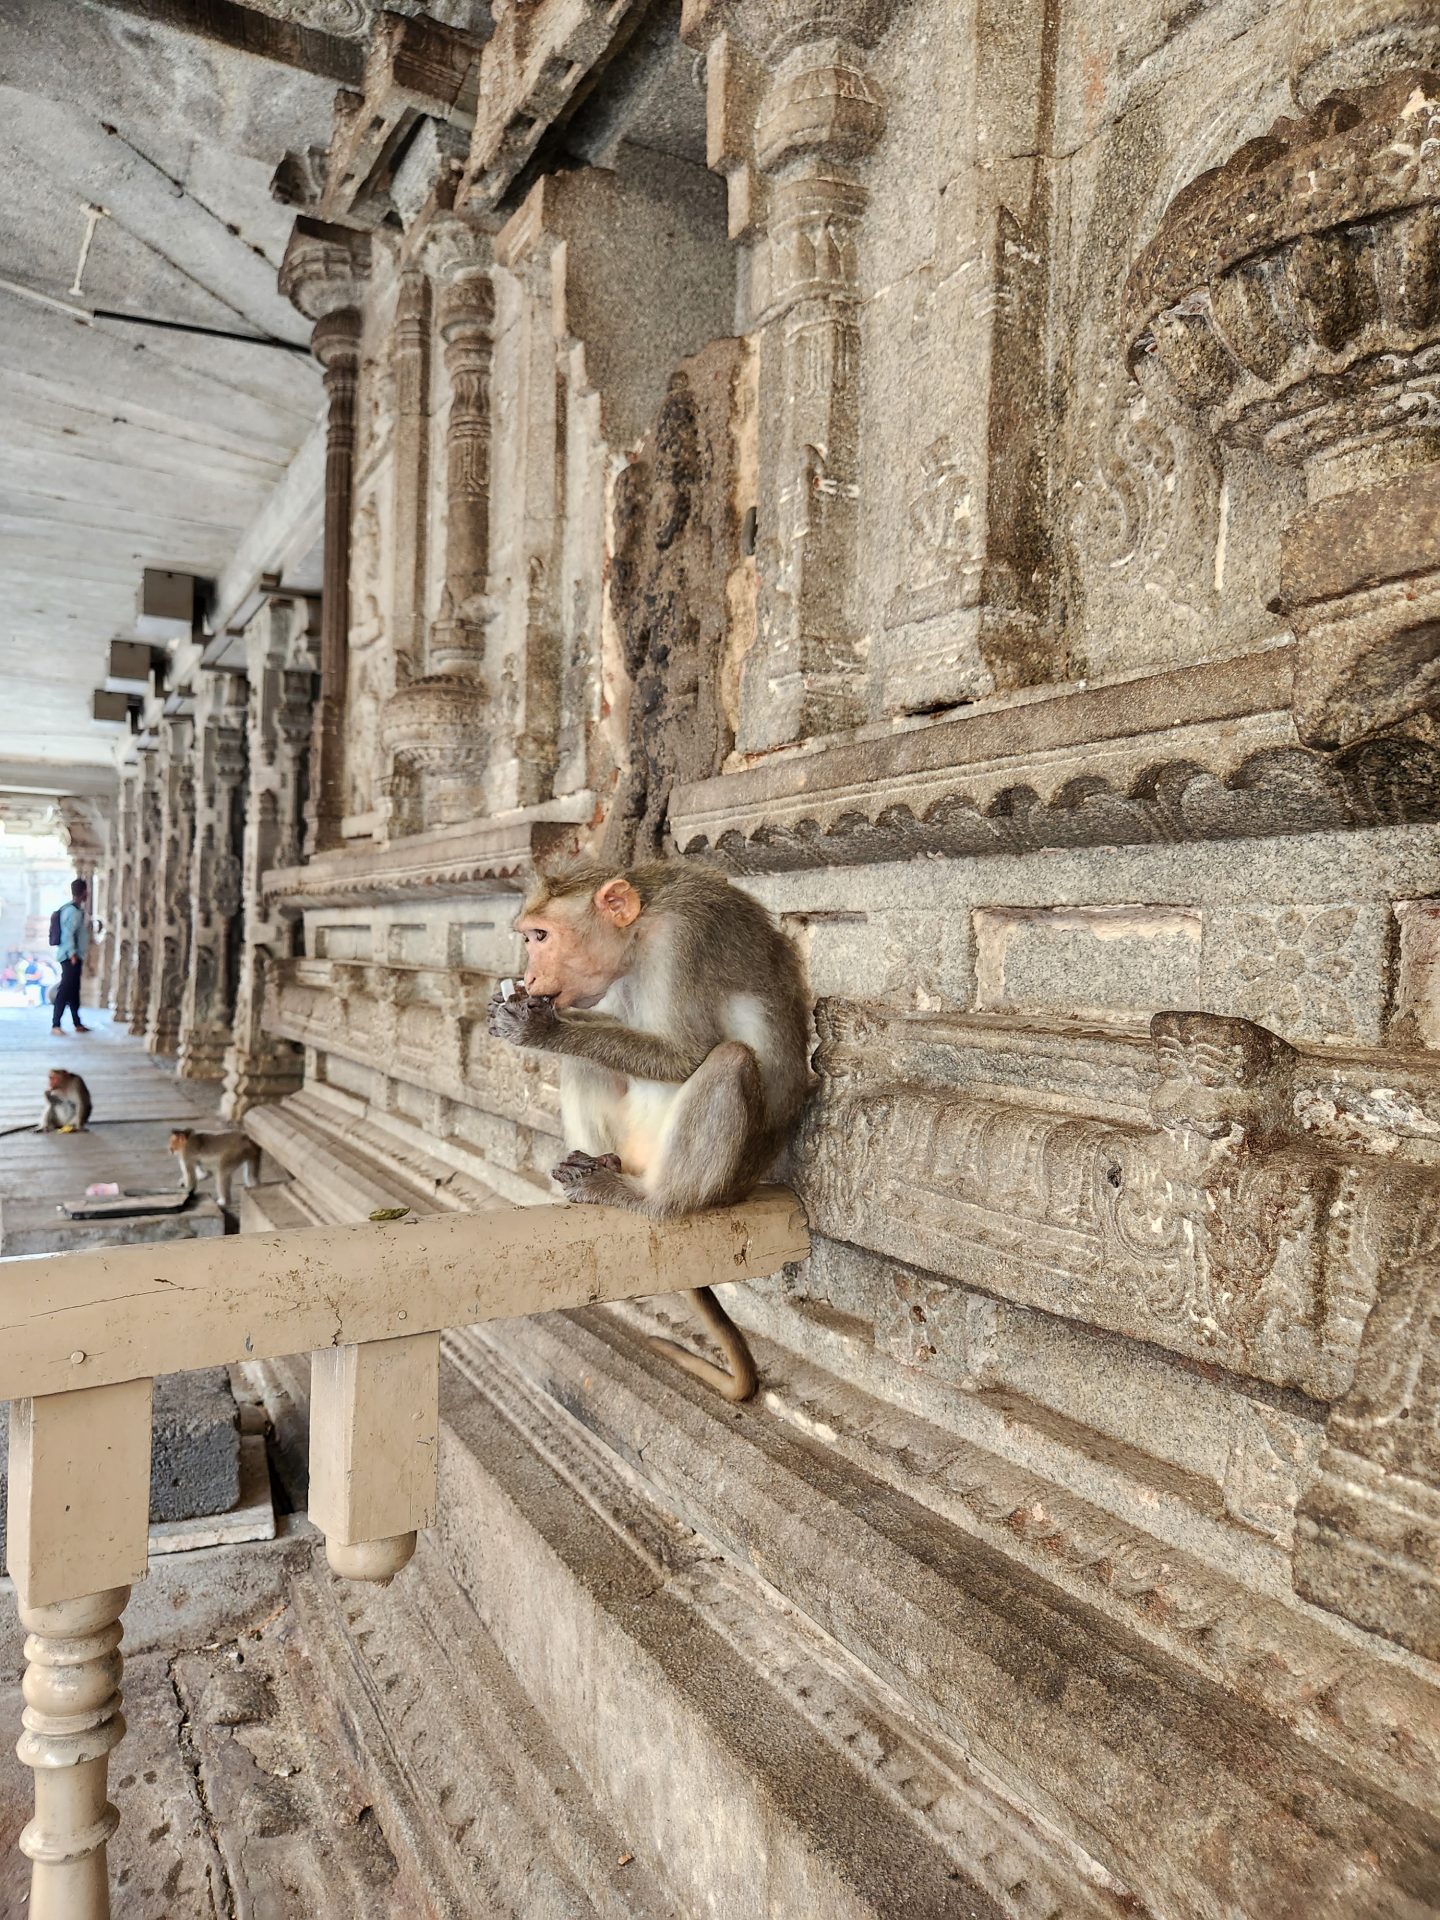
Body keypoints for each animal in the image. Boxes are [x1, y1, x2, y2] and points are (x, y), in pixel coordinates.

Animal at [486, 860, 810, 1402]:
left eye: (540, 936)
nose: (528, 974)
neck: (638, 934)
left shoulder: (683, 941)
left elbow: (687, 1053)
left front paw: (544, 1030)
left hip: (721, 1178)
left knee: (730, 1060)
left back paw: (650, 1200)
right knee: (585, 1063)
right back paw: (596, 1164)